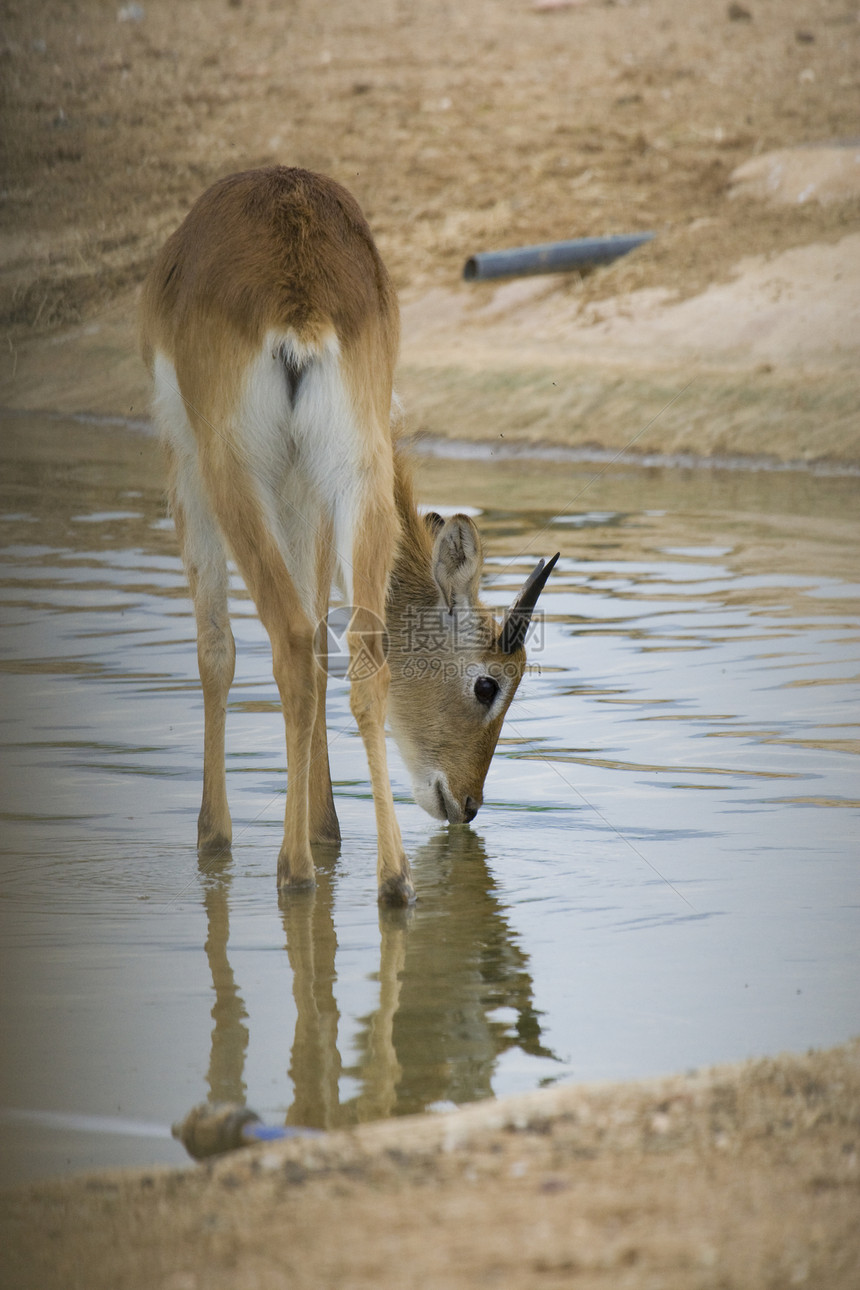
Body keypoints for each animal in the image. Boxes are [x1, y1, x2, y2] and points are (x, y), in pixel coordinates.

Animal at [139, 166, 559, 908]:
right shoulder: (311, 495)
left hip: (232, 474)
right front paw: (328, 829)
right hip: (354, 471)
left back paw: (293, 869)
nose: (469, 805)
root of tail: (300, 290)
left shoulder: (188, 463)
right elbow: (324, 644)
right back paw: (391, 879)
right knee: (363, 651)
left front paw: (216, 840)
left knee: (288, 642)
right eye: (489, 684)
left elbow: (219, 650)